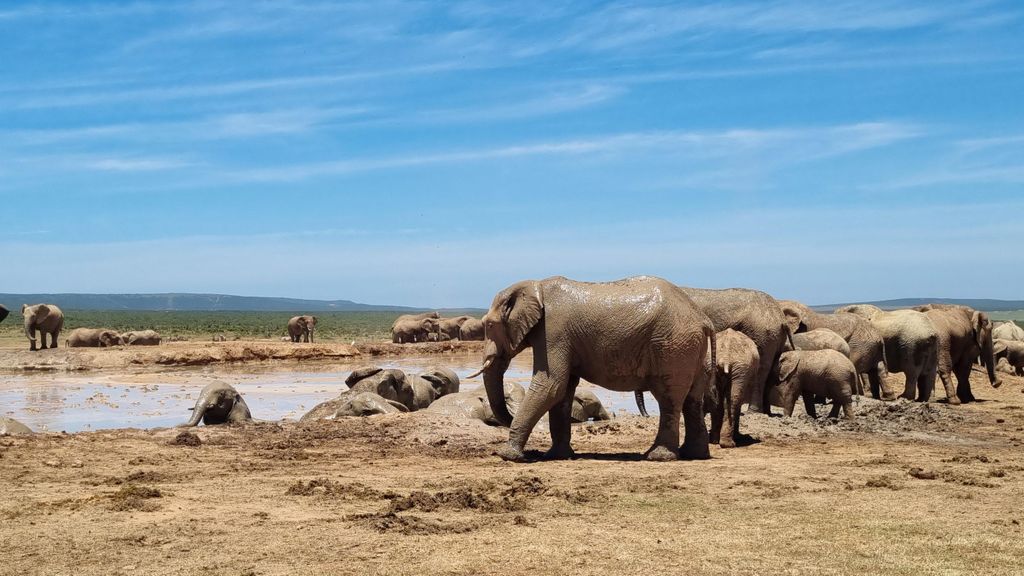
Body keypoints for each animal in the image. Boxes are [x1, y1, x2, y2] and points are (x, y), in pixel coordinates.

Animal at [468, 276, 715, 462]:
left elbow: (551, 385)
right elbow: (563, 391)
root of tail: (703, 319)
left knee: (668, 398)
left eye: (490, 325)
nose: (508, 417)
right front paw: (558, 456)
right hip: (691, 348)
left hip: (672, 346)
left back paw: (658, 457)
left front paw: (507, 455)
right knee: (692, 400)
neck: (535, 286)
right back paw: (694, 455)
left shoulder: (553, 332)